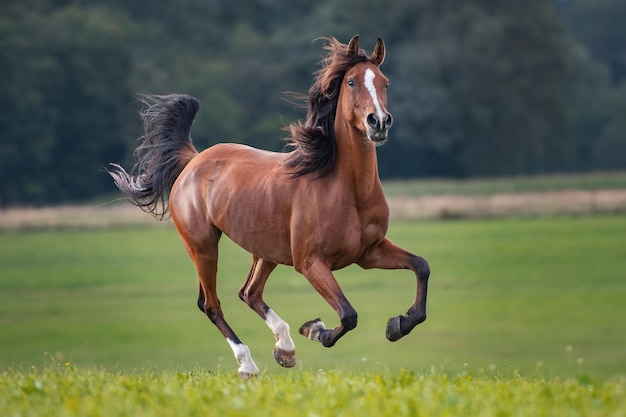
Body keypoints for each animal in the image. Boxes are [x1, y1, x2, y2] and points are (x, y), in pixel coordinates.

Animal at [108, 37, 428, 378]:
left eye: (384, 82)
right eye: (352, 82)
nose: (378, 122)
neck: (346, 189)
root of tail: (193, 161)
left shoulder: (369, 253)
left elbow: (421, 266)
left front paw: (398, 324)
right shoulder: (310, 262)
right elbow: (348, 314)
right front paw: (316, 329)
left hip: (266, 251)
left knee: (249, 292)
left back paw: (284, 349)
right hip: (203, 246)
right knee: (211, 303)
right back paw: (248, 363)